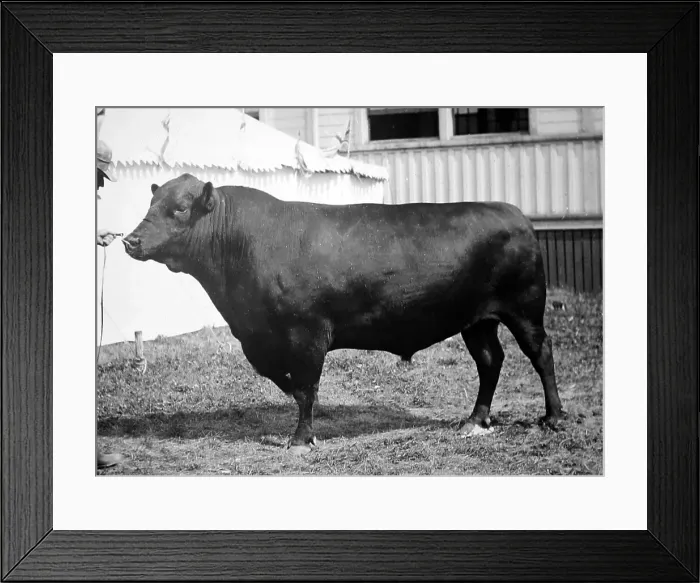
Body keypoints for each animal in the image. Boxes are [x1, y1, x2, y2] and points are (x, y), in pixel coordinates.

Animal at [123, 173, 565, 455]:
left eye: (181, 209)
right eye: (151, 203)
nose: (130, 240)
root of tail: (514, 214)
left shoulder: (307, 333)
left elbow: (306, 387)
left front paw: (301, 439)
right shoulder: (258, 338)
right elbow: (285, 380)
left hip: (525, 307)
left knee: (541, 353)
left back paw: (554, 417)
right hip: (476, 320)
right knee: (490, 360)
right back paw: (475, 420)